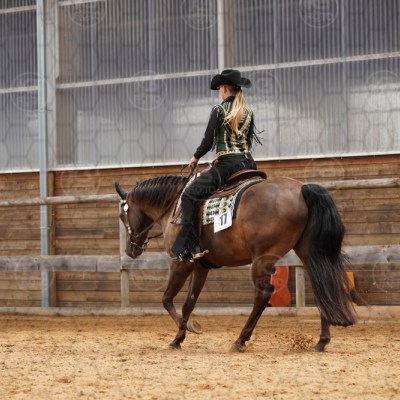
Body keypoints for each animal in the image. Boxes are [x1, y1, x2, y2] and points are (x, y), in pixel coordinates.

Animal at [115, 173, 357, 352]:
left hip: (262, 259)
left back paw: (240, 340)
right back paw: (322, 341)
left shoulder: (180, 263)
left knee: (263, 295)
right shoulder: (200, 266)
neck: (174, 206)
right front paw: (178, 339)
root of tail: (302, 188)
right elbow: (188, 303)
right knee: (321, 285)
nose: (131, 250)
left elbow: (166, 299)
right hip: (308, 253)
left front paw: (189, 328)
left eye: (122, 216)